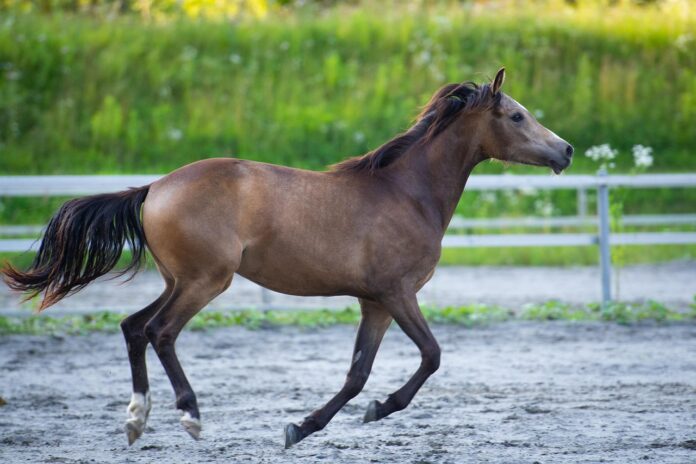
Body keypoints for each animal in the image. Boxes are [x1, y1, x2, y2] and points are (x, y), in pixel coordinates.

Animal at [2, 68, 573, 448]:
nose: (565, 151)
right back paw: (189, 416)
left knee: (132, 327)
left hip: (177, 280)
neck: (406, 192)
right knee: (160, 332)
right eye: (517, 115)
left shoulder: (375, 302)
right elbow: (431, 355)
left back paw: (136, 420)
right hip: (206, 281)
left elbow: (357, 373)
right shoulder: (397, 292)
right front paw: (379, 409)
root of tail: (154, 188)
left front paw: (303, 426)